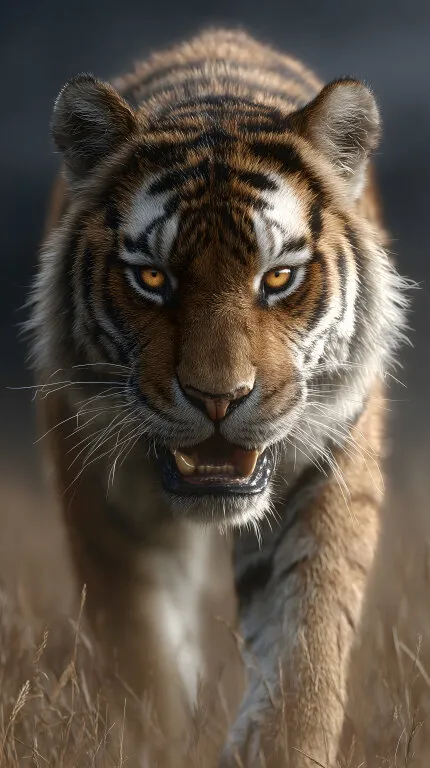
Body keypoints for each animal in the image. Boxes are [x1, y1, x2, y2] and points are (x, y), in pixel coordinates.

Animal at [29, 27, 408, 768]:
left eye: (278, 277)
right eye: (152, 278)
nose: (218, 398)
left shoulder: (329, 460)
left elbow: (304, 646)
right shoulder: (104, 496)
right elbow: (140, 656)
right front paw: (154, 742)